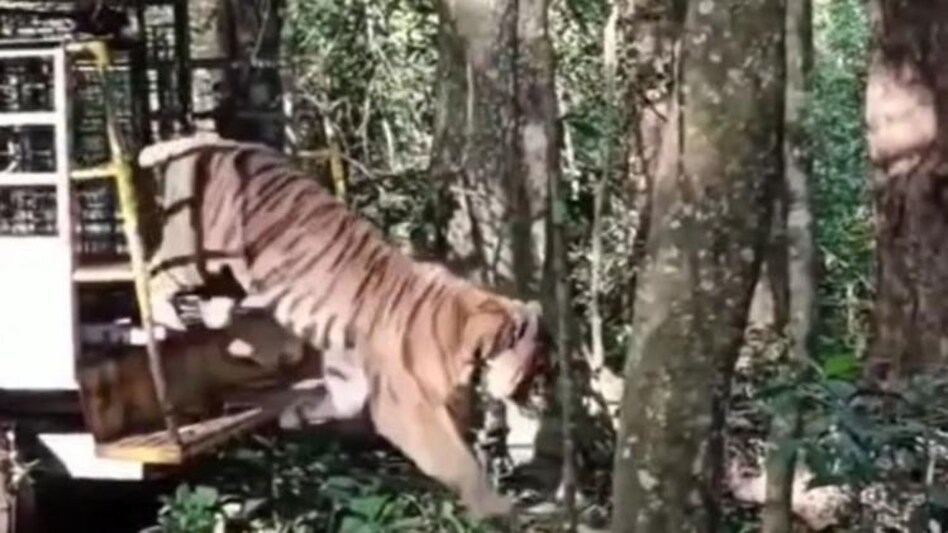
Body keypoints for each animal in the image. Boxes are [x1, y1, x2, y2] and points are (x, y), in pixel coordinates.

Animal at [136, 133, 553, 518]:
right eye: (535, 367)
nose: (535, 400)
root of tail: (217, 139)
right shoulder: (407, 409)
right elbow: (458, 461)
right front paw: (496, 508)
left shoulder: (348, 370)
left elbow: (339, 401)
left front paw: (295, 415)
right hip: (193, 254)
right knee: (155, 275)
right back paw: (163, 323)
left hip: (222, 273)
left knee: (218, 308)